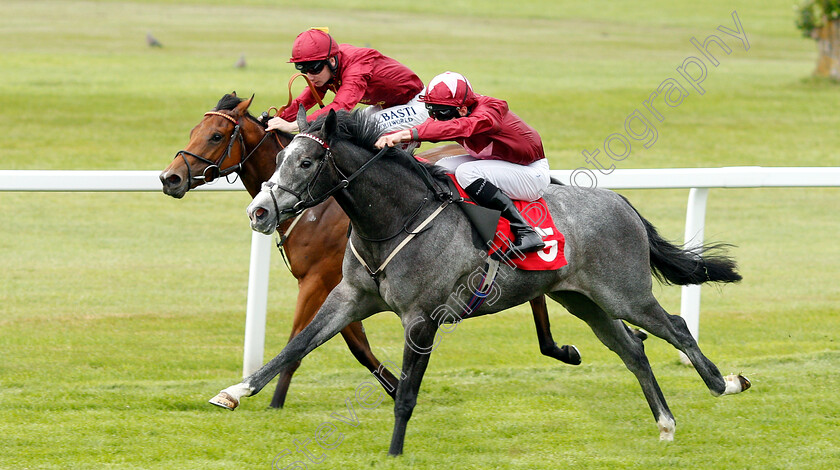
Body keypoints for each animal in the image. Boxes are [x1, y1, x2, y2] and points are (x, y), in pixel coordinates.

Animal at [158, 92, 580, 408]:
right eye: (195, 130)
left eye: (216, 136)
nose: (169, 178)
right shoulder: (346, 286)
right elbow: (343, 341)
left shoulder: (317, 280)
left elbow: (309, 337)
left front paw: (275, 399)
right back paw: (558, 347)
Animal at [213, 109, 752, 456]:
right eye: (279, 159)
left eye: (305, 162)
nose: (259, 213)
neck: (398, 218)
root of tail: (622, 202)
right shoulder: (350, 297)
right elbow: (296, 345)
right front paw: (234, 392)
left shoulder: (422, 319)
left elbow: (407, 393)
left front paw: (394, 452)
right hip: (584, 301)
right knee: (633, 349)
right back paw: (665, 422)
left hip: (625, 293)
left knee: (675, 327)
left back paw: (725, 383)